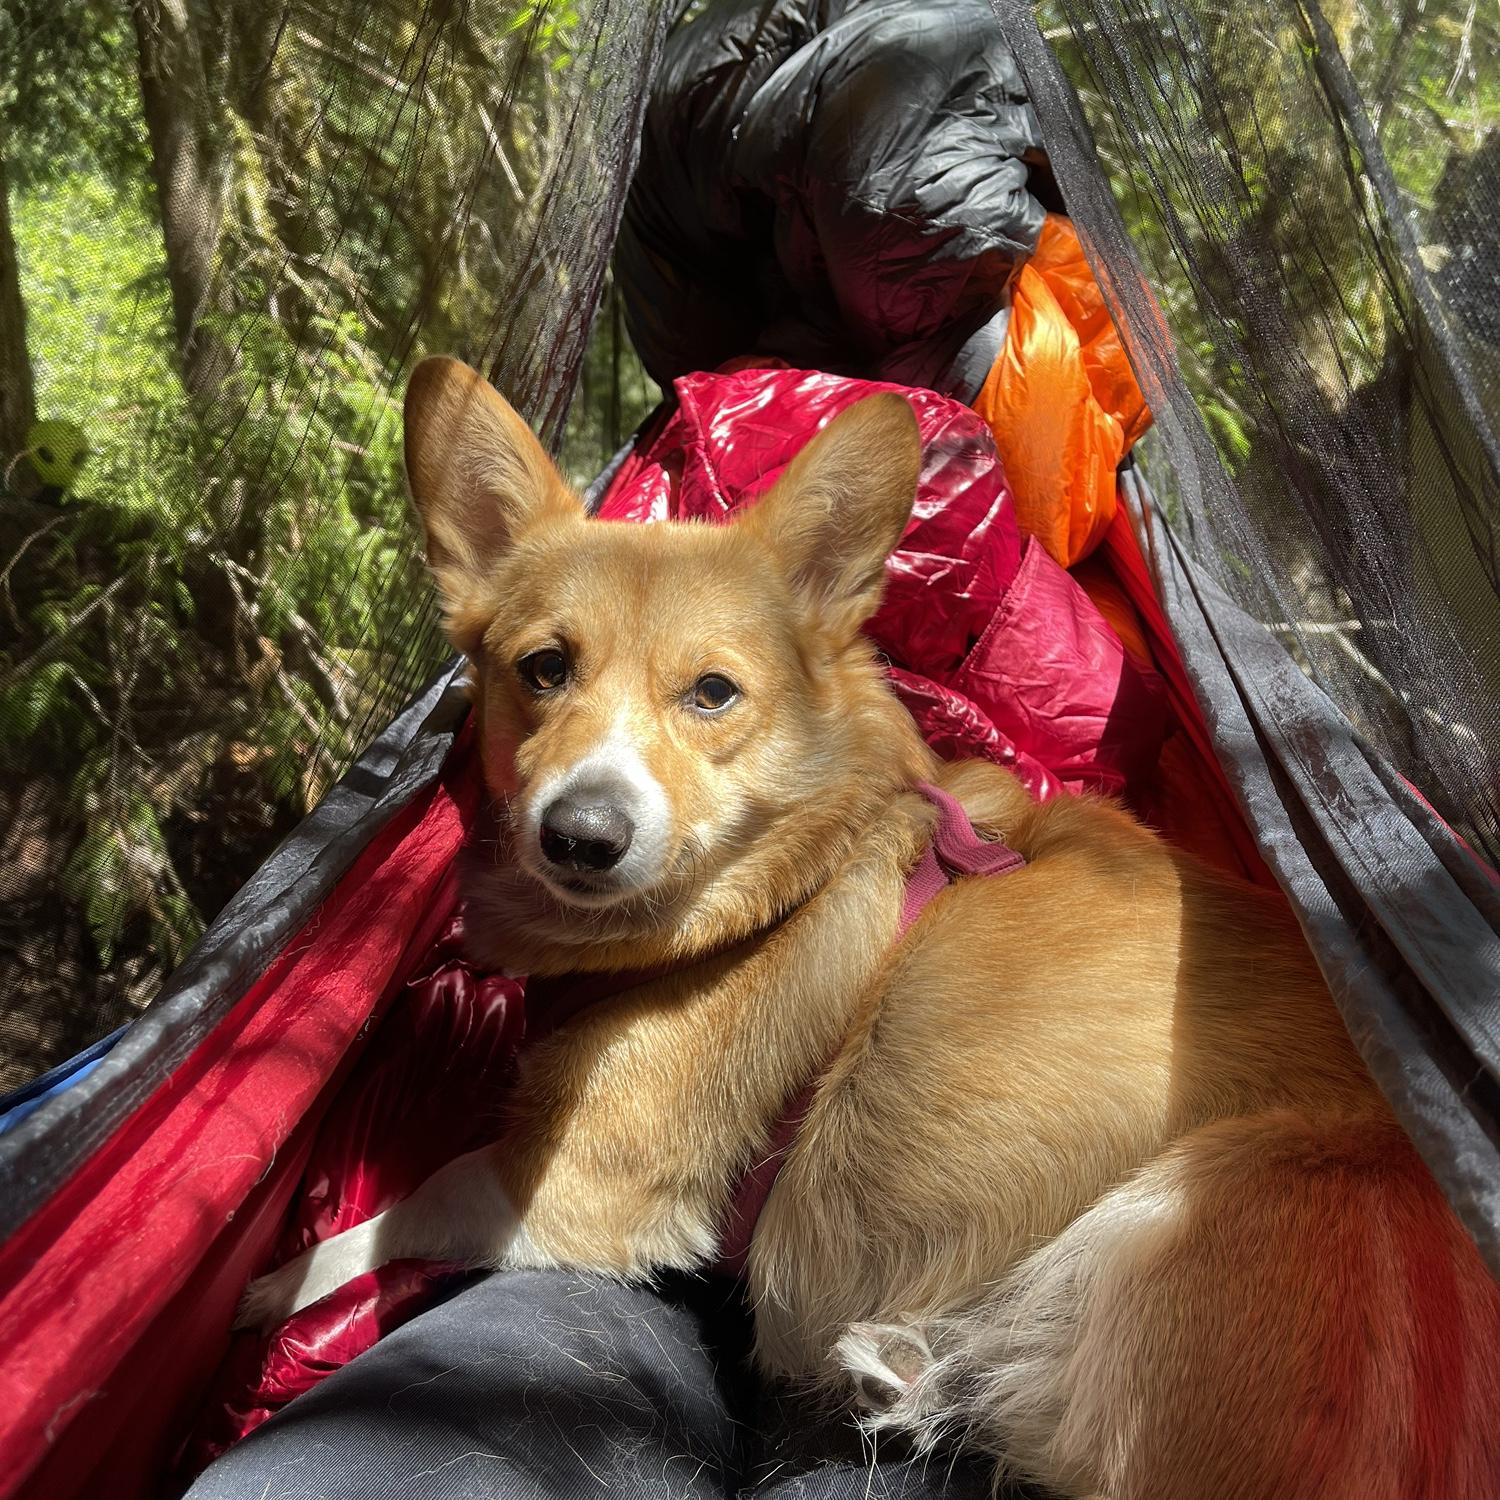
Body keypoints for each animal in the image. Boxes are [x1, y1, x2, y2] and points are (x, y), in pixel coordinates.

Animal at [240, 354, 1494, 1500]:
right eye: (543, 670)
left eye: (713, 693)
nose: (581, 836)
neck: (773, 886)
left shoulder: (570, 1185)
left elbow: (404, 1208)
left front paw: (271, 1282)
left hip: (1213, 1189)